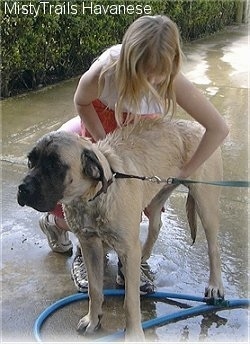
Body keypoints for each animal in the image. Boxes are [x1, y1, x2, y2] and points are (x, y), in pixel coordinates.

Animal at [18, 117, 225, 342]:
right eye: (31, 161)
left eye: (55, 165)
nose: (22, 189)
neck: (92, 198)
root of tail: (193, 124)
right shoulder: (90, 245)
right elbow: (94, 289)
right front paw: (93, 319)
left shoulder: (126, 248)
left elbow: (130, 302)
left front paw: (134, 334)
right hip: (156, 196)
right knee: (155, 225)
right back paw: (143, 256)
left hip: (205, 201)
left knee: (213, 246)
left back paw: (215, 286)